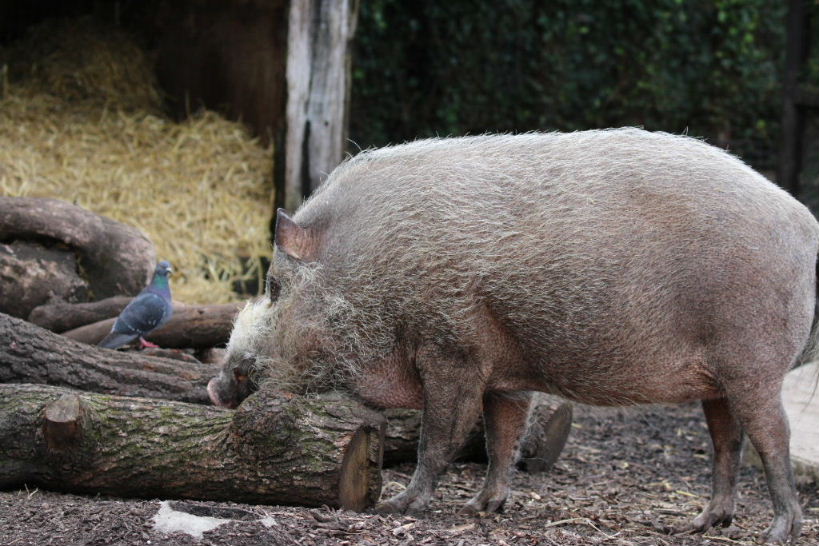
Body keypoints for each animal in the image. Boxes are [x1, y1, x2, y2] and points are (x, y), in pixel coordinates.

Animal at [208, 128, 818, 543]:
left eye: (274, 286)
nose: (216, 385)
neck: (369, 268)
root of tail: (807, 226)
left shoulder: (451, 349)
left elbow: (441, 435)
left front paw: (398, 508)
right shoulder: (505, 371)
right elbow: (504, 436)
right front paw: (483, 509)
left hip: (752, 360)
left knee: (773, 437)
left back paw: (776, 532)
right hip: (718, 378)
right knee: (726, 442)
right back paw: (699, 524)